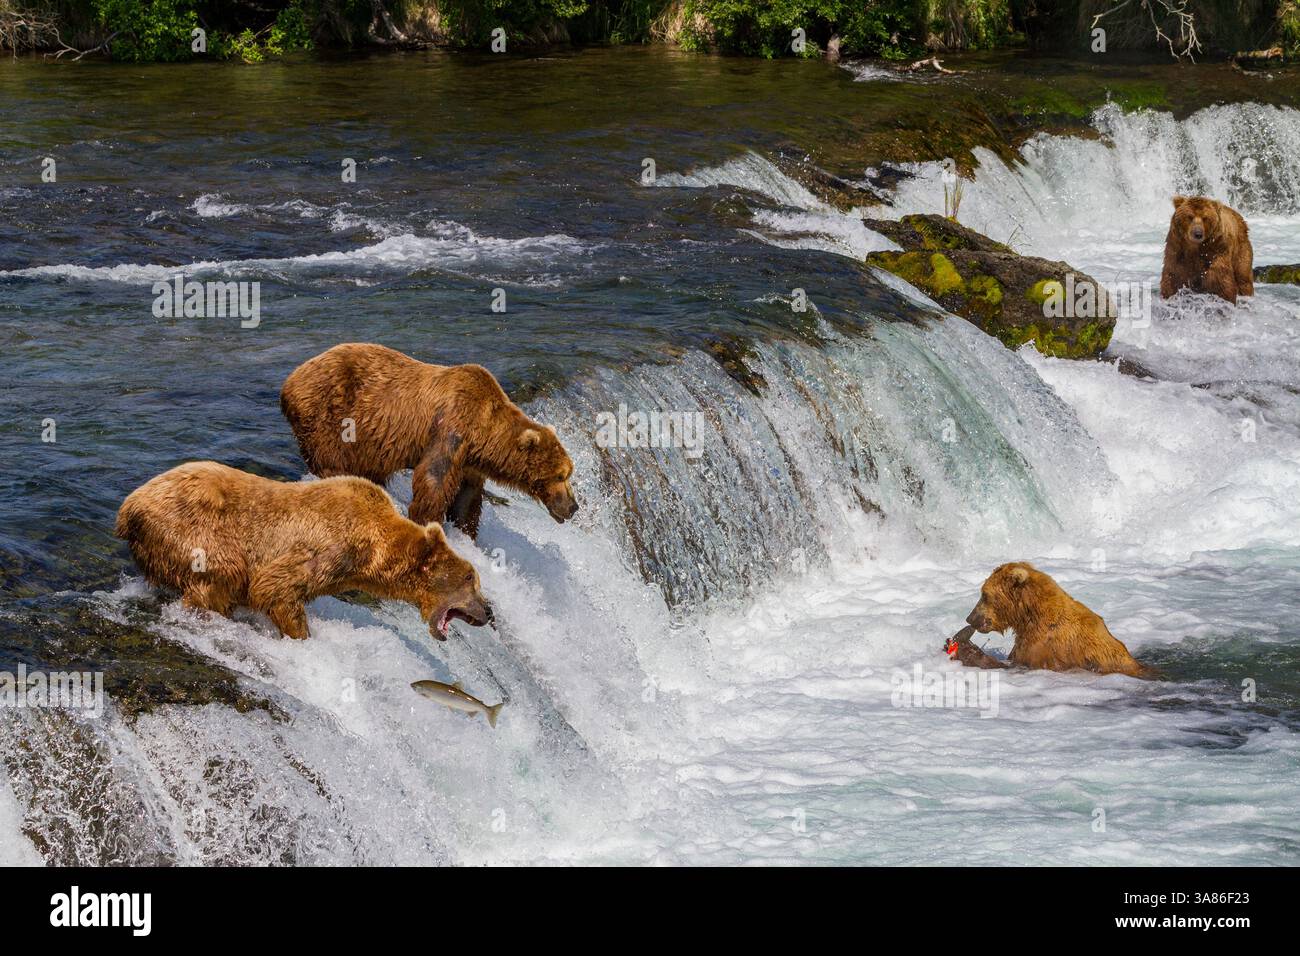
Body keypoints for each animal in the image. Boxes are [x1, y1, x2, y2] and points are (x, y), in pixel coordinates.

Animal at [115, 461, 491, 641]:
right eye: (471, 580)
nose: (489, 612)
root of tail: (127, 507)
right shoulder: (329, 546)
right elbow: (275, 586)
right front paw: (301, 635)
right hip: (193, 528)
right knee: (221, 573)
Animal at [280, 343, 578, 539]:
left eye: (568, 473)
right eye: (560, 475)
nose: (573, 507)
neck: (482, 434)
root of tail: (290, 379)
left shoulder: (470, 462)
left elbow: (467, 498)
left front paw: (465, 530)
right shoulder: (451, 430)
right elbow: (433, 481)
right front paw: (428, 522)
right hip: (328, 414)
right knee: (329, 457)